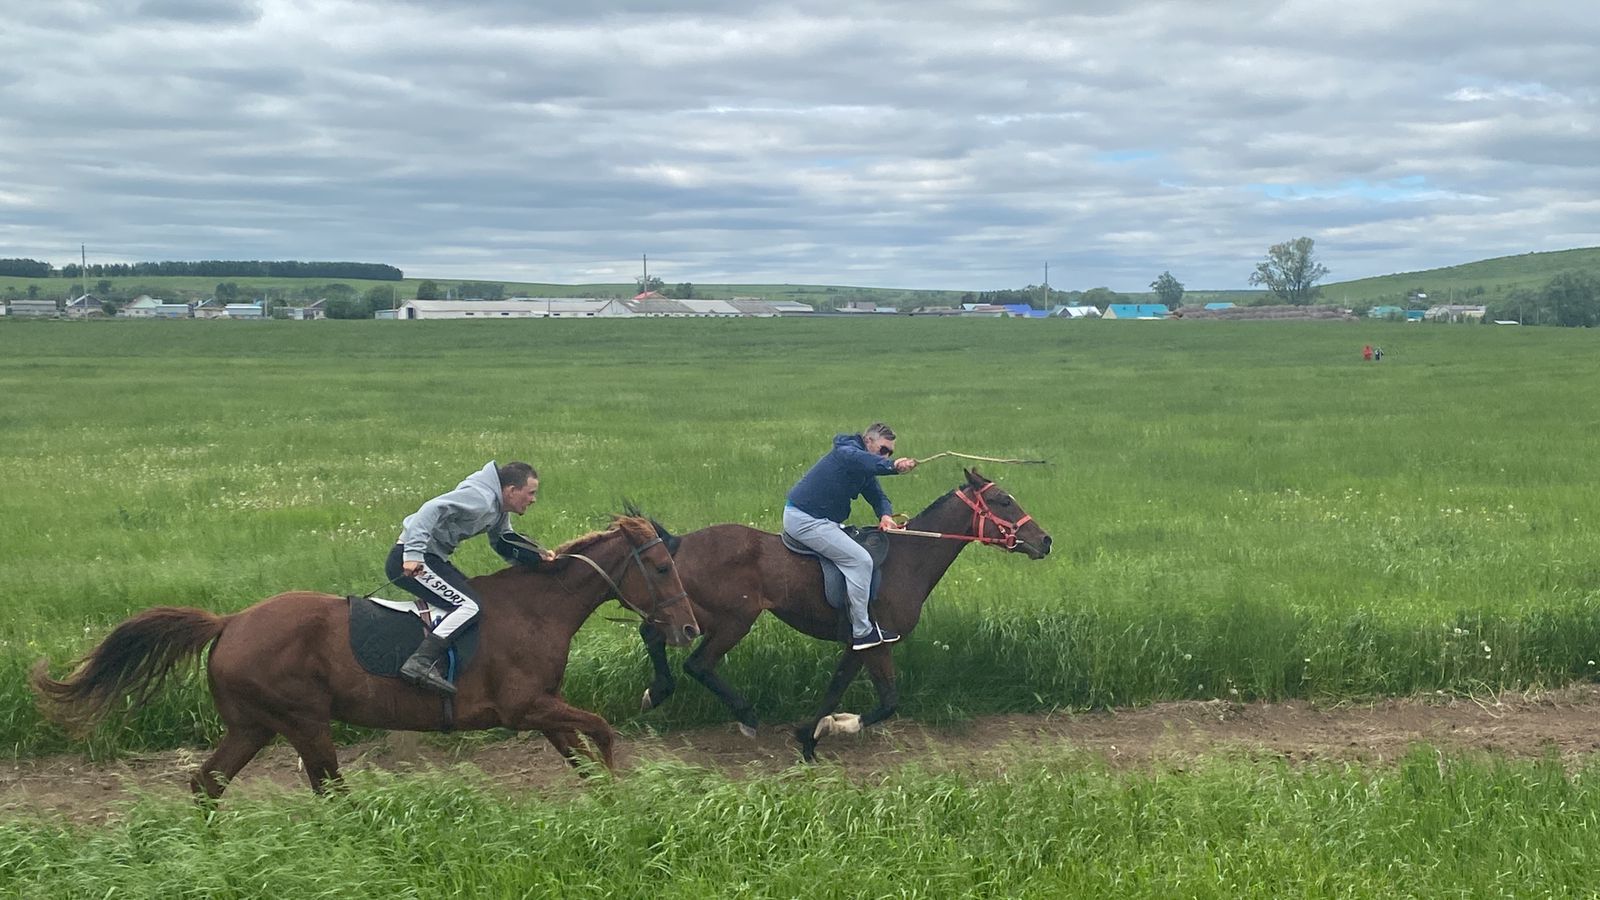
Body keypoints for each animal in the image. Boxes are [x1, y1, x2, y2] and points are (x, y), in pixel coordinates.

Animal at [34, 515, 697, 794]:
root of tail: (231, 622)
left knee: (206, 784)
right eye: (664, 568)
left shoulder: (543, 708)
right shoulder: (524, 707)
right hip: (304, 721)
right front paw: (624, 790)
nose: (689, 627)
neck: (538, 608)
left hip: (253, 726)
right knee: (328, 791)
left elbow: (582, 757)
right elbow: (602, 731)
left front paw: (610, 803)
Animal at [636, 470, 1049, 755]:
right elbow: (887, 701)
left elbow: (838, 689)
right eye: (1003, 500)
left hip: (693, 614)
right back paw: (746, 717)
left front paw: (810, 735)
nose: (1045, 540)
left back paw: (656, 692)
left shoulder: (859, 645)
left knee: (653, 634)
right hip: (733, 620)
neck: (908, 559)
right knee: (698, 663)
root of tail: (676, 544)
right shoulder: (875, 642)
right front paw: (830, 728)